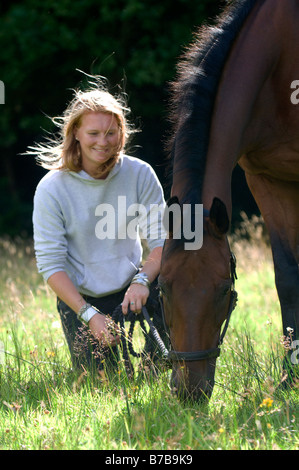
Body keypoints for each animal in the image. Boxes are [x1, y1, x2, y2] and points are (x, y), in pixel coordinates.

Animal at [161, 0, 299, 402]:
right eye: (162, 288)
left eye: (225, 290)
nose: (190, 391)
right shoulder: (266, 180)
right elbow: (287, 277)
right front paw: (290, 378)